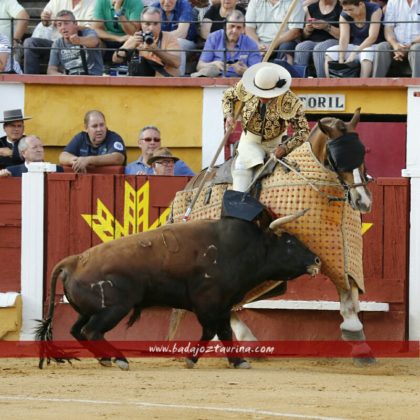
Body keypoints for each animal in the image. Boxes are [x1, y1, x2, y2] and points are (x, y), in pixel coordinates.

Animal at [37, 212, 318, 370]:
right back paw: (119, 359)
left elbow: (225, 332)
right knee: (91, 331)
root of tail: (74, 260)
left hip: (88, 310)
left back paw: (105, 359)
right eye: (290, 243)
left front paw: (237, 361)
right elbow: (212, 331)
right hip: (113, 309)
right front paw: (192, 359)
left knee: (77, 330)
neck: (242, 249)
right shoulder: (209, 305)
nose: (315, 260)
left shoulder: (223, 306)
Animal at [167, 107, 374, 364]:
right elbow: (345, 291)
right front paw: (356, 336)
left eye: (362, 152)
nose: (363, 201)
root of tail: (184, 193)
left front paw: (360, 343)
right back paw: (249, 342)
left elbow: (351, 289)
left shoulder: (345, 251)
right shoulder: (325, 250)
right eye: (337, 158)